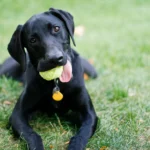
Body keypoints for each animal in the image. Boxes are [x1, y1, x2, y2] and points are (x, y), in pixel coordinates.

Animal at [0, 8, 97, 150]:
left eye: (56, 28)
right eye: (33, 40)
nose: (55, 58)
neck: (56, 82)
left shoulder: (89, 114)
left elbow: (81, 135)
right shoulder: (17, 115)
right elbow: (32, 135)